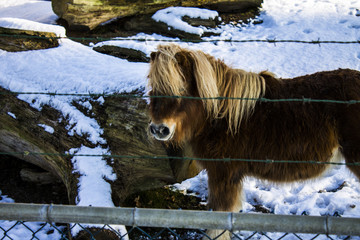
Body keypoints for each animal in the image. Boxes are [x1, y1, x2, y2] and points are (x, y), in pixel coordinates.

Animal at [146, 44, 360, 239]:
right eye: (153, 87)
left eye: (181, 88)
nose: (159, 129)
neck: (221, 114)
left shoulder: (223, 173)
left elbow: (218, 221)